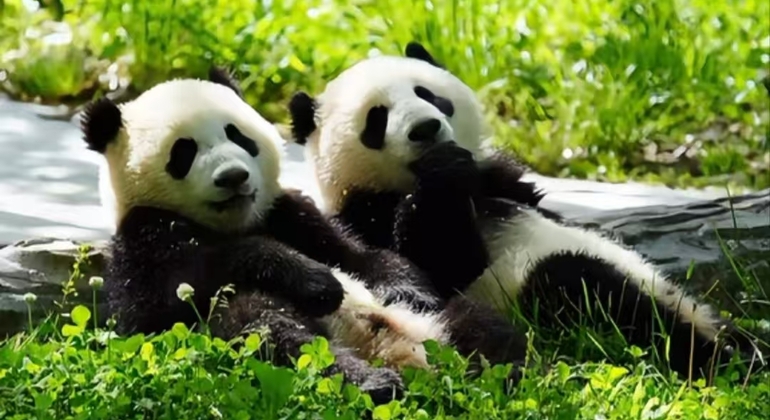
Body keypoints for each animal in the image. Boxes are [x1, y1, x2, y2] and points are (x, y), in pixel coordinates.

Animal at [80, 67, 529, 403]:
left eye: (237, 135)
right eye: (184, 152)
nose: (233, 177)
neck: (238, 220)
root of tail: (395, 354)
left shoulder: (290, 212)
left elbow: (363, 256)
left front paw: (407, 285)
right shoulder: (144, 238)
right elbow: (179, 287)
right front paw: (317, 283)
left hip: (440, 323)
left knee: (483, 326)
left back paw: (508, 374)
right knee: (269, 326)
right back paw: (371, 382)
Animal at [286, 42, 763, 381]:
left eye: (429, 95)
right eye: (377, 118)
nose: (426, 128)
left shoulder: (503, 185)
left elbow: (519, 190)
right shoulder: (365, 219)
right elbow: (441, 261)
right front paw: (443, 177)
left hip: (689, 301)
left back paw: (747, 348)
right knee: (586, 288)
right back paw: (721, 360)